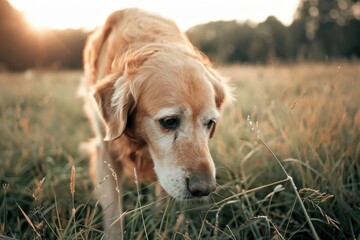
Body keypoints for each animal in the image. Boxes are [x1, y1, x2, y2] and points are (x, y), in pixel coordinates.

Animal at [81, 7, 233, 238]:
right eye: (169, 121)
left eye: (209, 123)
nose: (205, 189)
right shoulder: (105, 150)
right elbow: (114, 214)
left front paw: (159, 224)